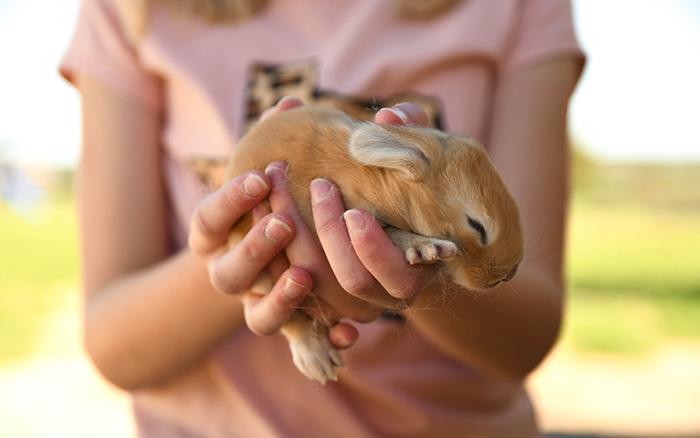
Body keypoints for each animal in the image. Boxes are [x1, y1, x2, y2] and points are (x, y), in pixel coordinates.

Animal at [223, 106, 524, 384]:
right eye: (477, 226)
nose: (508, 275)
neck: (384, 185)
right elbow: (390, 231)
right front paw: (427, 248)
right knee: (290, 319)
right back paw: (317, 360)